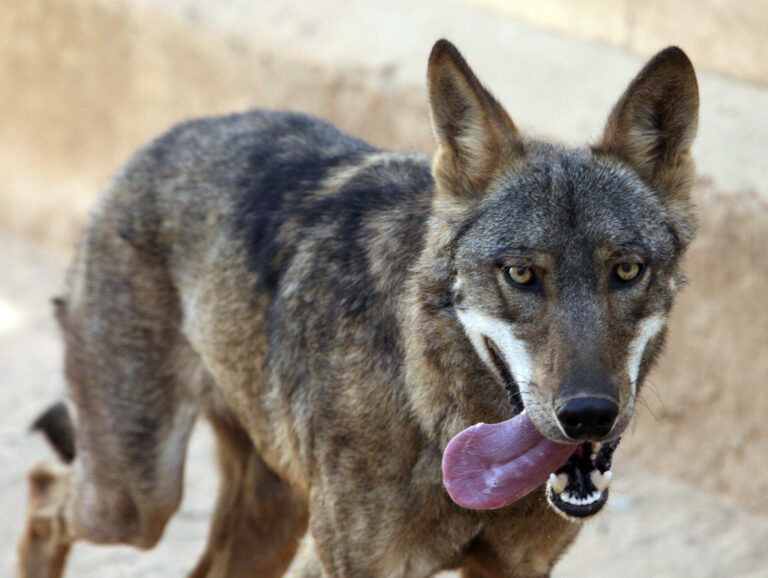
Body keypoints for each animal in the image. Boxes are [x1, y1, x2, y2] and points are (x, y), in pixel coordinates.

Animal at [18, 39, 698, 577]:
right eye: (522, 274)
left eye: (627, 271)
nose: (588, 415)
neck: (438, 414)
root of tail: (167, 136)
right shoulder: (343, 564)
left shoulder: (516, 569)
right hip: (136, 502)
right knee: (44, 489)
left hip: (266, 517)